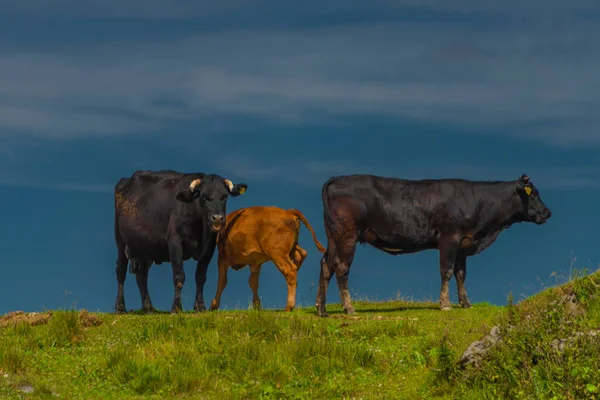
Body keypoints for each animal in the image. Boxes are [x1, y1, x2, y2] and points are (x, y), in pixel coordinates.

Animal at [113, 169, 247, 312]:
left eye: (224, 197)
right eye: (204, 197)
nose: (217, 218)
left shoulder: (209, 246)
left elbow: (200, 276)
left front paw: (199, 307)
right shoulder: (175, 242)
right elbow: (179, 276)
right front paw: (176, 307)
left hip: (144, 247)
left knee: (141, 276)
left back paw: (149, 308)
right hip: (120, 241)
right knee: (120, 271)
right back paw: (120, 307)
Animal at [316, 173, 552, 318]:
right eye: (534, 194)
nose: (548, 212)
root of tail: (336, 179)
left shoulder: (463, 244)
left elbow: (460, 274)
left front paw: (465, 303)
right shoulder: (449, 237)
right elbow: (446, 271)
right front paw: (445, 304)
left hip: (333, 237)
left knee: (326, 265)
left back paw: (322, 309)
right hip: (347, 235)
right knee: (341, 268)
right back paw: (349, 307)